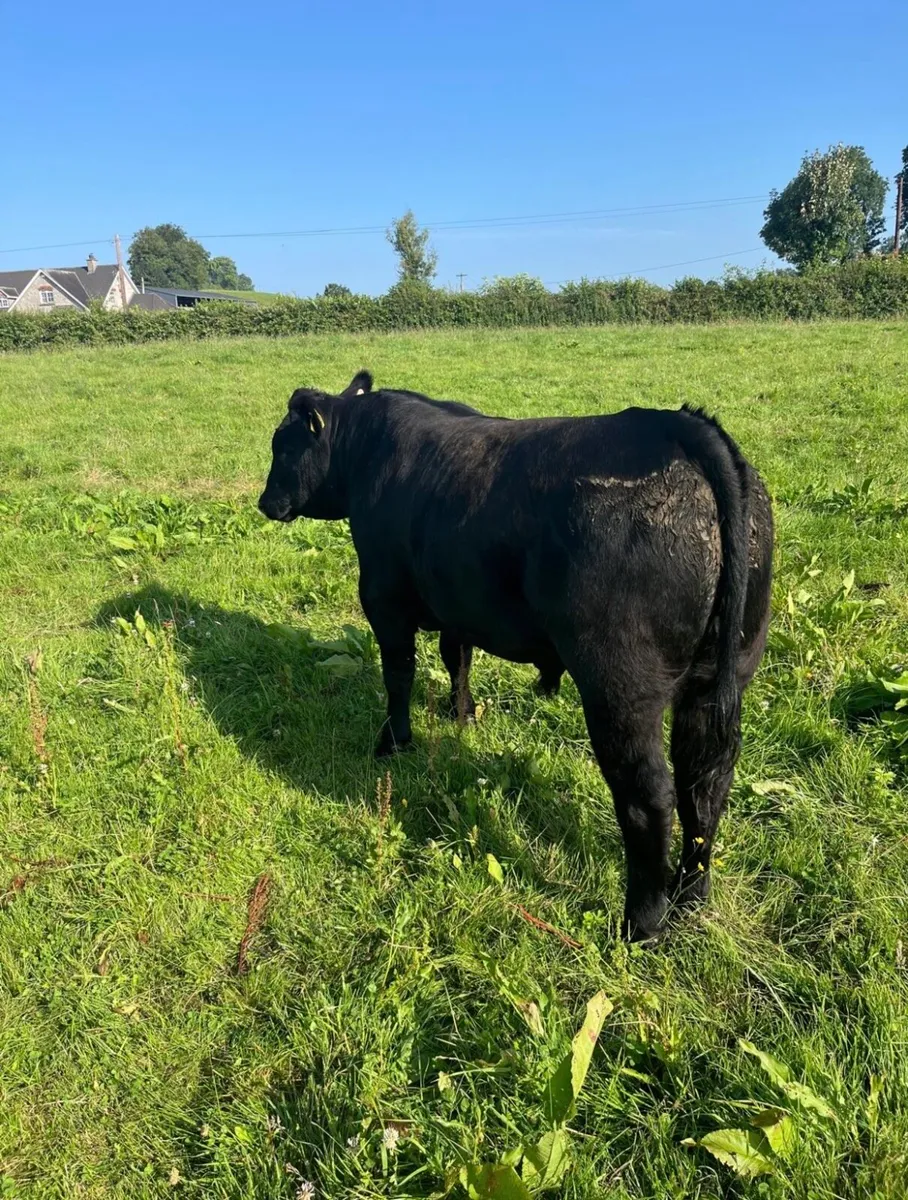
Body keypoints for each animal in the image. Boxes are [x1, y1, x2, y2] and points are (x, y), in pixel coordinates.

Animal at [258, 371, 773, 941]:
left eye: (284, 446)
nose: (264, 501)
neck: (366, 449)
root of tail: (677, 425)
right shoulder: (457, 600)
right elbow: (456, 658)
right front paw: (462, 716)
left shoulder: (382, 597)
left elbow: (399, 674)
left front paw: (393, 741)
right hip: (722, 674)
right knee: (705, 780)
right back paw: (690, 898)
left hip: (619, 686)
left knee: (650, 796)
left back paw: (641, 923)